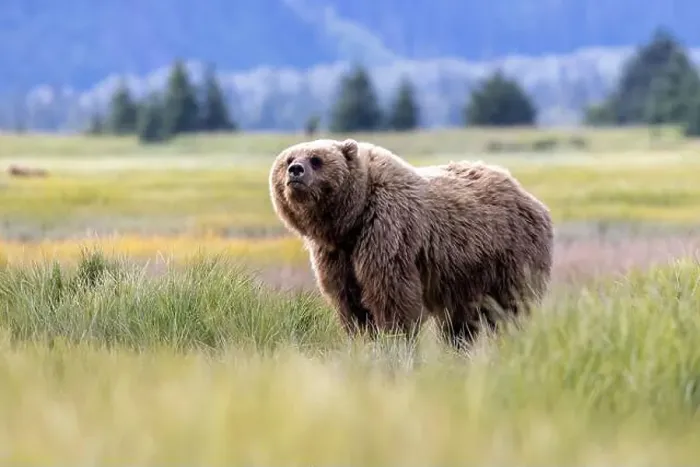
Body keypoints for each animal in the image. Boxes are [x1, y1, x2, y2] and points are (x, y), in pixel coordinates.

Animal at [268, 138, 554, 348]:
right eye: (288, 159)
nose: (296, 171)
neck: (350, 220)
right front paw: (363, 338)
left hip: (510, 255)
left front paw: (394, 340)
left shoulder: (387, 232)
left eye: (316, 159)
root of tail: (529, 197)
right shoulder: (336, 255)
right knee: (459, 322)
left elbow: (391, 297)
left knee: (513, 306)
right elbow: (349, 302)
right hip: (465, 277)